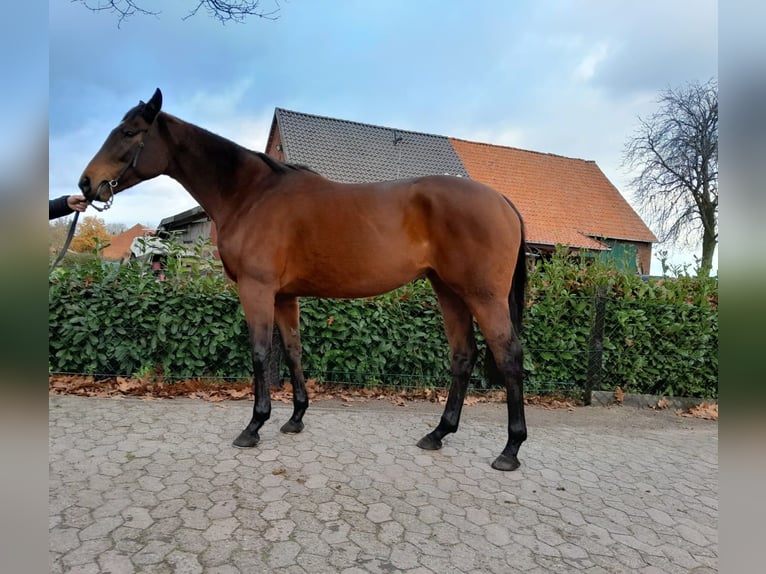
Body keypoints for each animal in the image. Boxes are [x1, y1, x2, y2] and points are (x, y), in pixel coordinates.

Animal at [81, 88, 532, 470]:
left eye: (129, 132)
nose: (87, 183)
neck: (251, 195)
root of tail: (502, 200)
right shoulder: (285, 296)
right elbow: (293, 350)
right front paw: (295, 417)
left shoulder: (257, 289)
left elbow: (261, 352)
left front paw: (254, 425)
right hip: (448, 291)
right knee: (463, 355)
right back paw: (438, 433)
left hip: (482, 295)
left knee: (509, 355)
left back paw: (510, 449)